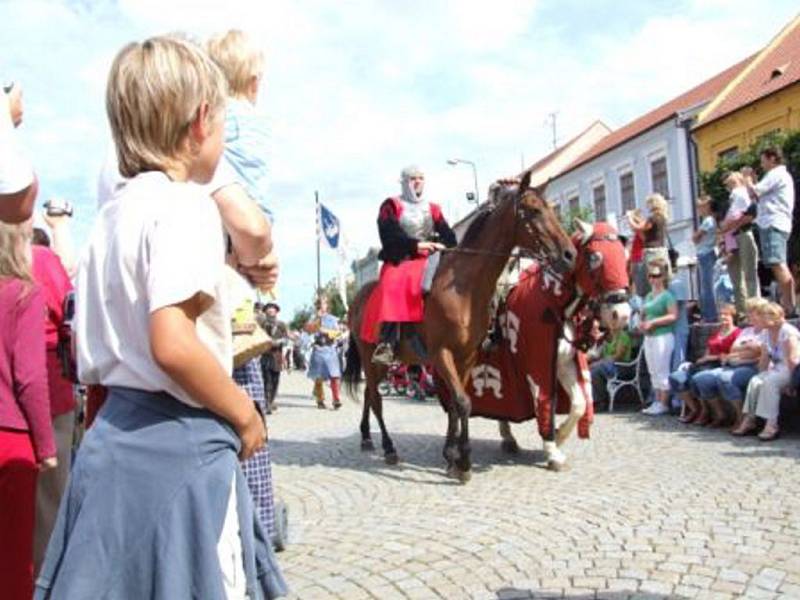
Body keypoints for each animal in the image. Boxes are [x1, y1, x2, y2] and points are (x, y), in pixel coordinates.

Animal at [342, 171, 576, 480]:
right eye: (534, 210)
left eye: (551, 208)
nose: (569, 254)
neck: (464, 288)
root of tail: (358, 299)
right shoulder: (442, 354)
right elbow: (463, 402)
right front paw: (464, 462)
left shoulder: (466, 356)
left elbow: (456, 404)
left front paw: (451, 455)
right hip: (372, 358)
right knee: (377, 399)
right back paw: (389, 448)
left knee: (370, 394)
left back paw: (367, 437)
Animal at [462, 218, 632, 472]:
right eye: (595, 257)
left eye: (625, 256)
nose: (620, 315)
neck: (554, 302)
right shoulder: (537, 368)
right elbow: (544, 402)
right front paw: (552, 451)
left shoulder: (564, 363)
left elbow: (580, 404)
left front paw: (559, 435)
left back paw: (508, 438)